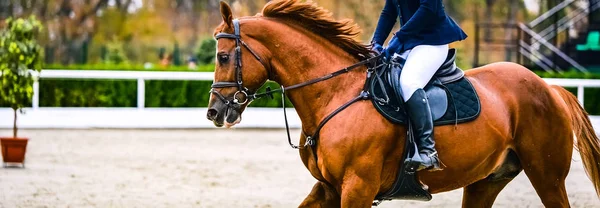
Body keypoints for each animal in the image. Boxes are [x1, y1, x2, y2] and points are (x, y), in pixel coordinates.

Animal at [206, 0, 600, 207]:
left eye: (223, 56)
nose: (215, 112)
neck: (336, 93)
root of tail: (549, 87)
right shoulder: (328, 188)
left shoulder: (357, 187)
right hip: (485, 180)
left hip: (547, 174)